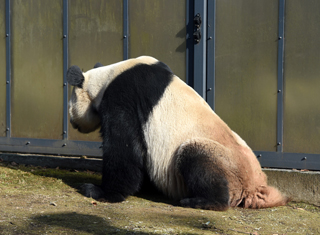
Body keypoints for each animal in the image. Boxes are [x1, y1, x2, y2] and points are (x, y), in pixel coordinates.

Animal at [66, 56, 288, 210]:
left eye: (70, 104)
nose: (72, 122)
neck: (108, 76)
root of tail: (254, 188)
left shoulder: (124, 96)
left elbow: (124, 147)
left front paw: (99, 191)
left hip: (225, 163)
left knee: (196, 158)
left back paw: (200, 201)